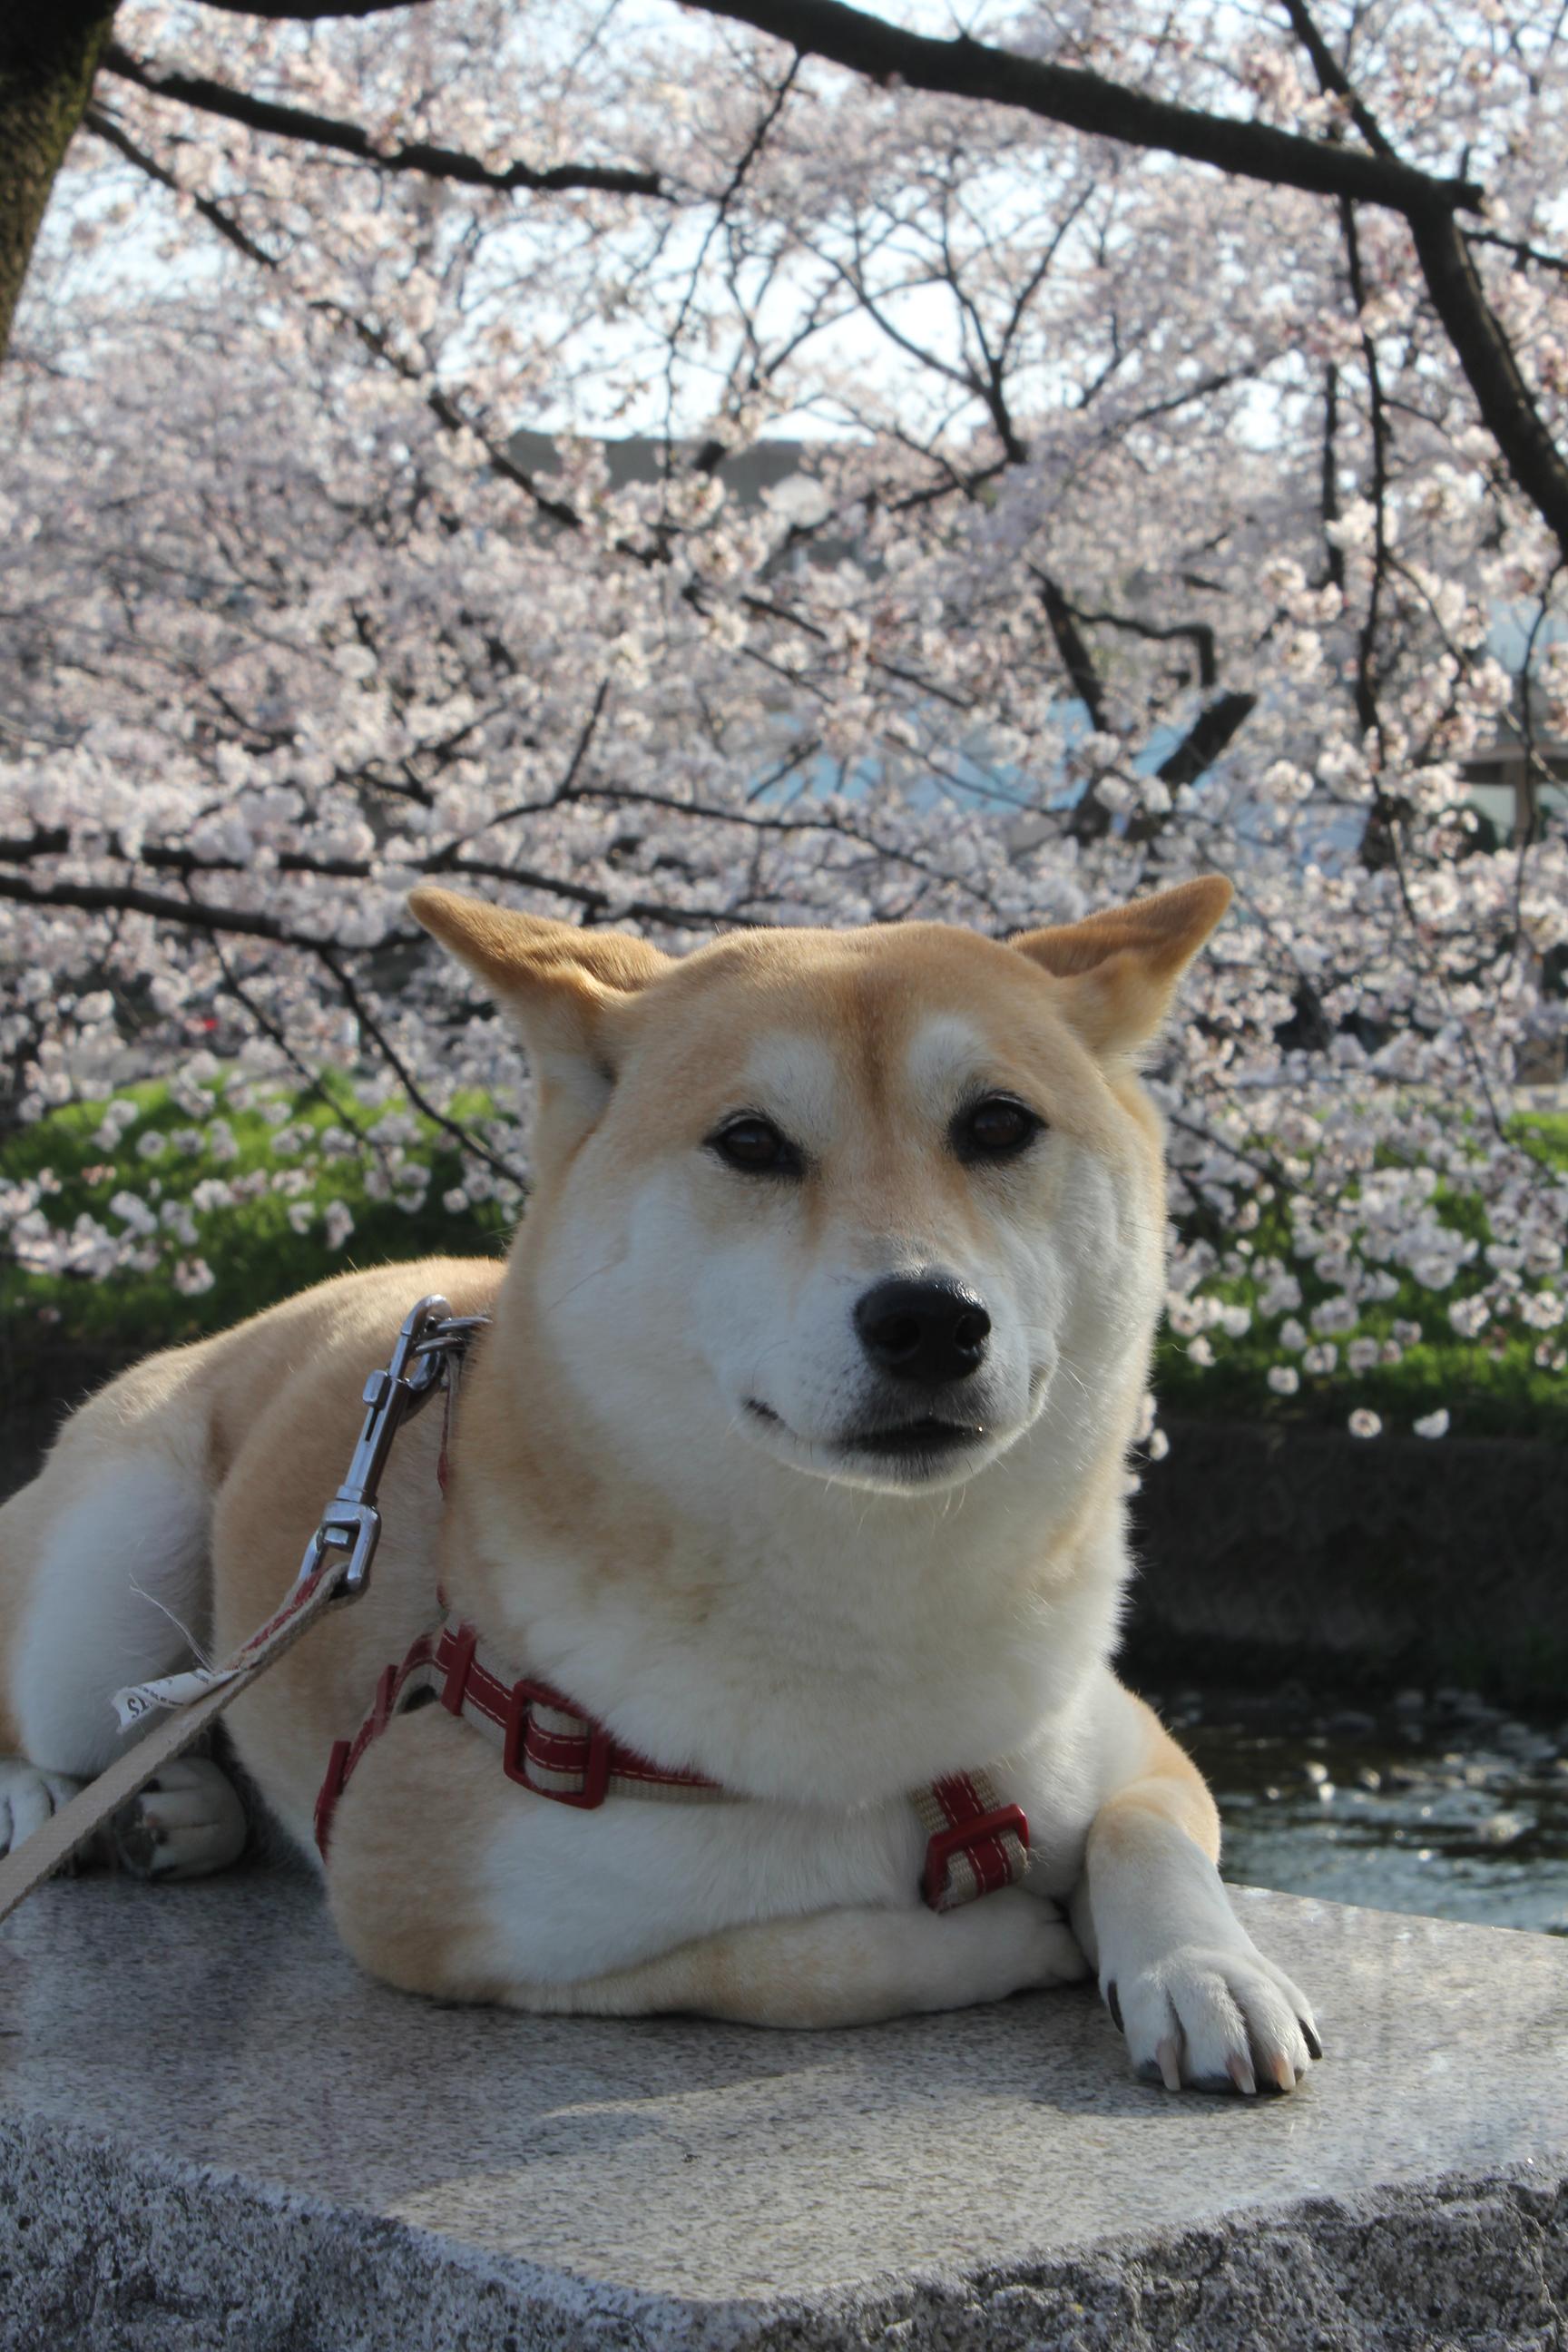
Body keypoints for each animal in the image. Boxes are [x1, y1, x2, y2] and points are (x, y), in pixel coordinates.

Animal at [0, 877, 1318, 2093]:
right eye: (751, 1143)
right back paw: (53, 1805)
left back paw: (179, 1810)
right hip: (107, 1576)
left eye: (998, 1124)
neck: (886, 1621)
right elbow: (805, 1961)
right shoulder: (441, 1895)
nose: (930, 1320)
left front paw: (1208, 1972)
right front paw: (1014, 1937)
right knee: (51, 1723)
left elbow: (1145, 1832)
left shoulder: (1123, 1743)